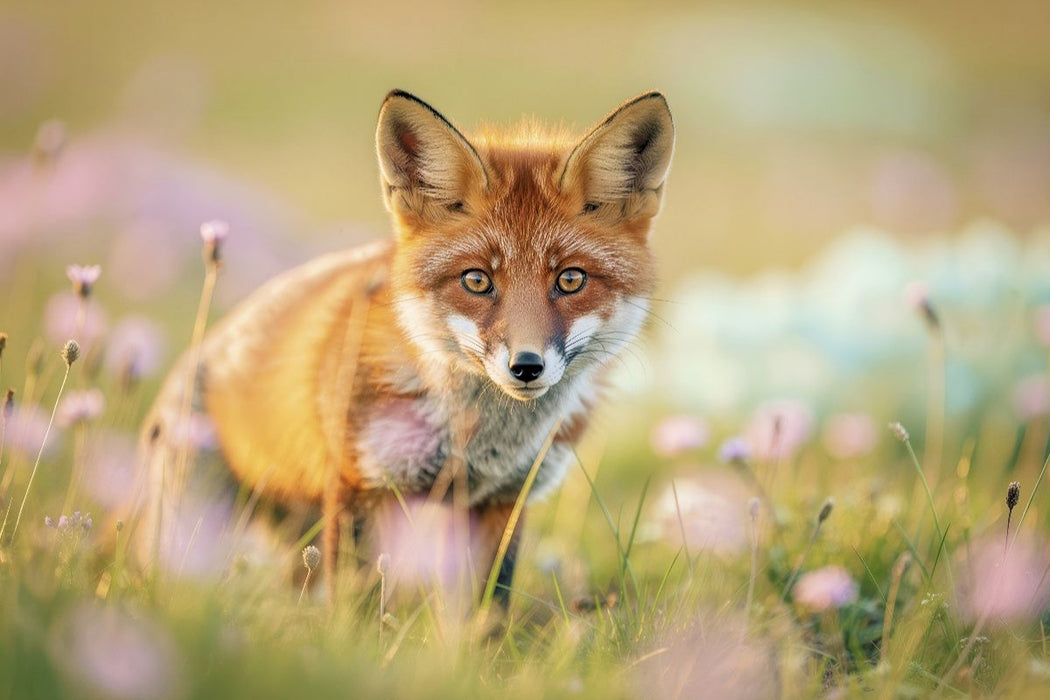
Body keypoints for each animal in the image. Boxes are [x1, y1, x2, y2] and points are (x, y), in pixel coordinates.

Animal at [138, 89, 674, 608]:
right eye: (476, 280)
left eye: (570, 279)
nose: (526, 366)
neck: (480, 442)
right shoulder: (357, 485)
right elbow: (351, 605)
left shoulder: (503, 500)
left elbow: (486, 614)